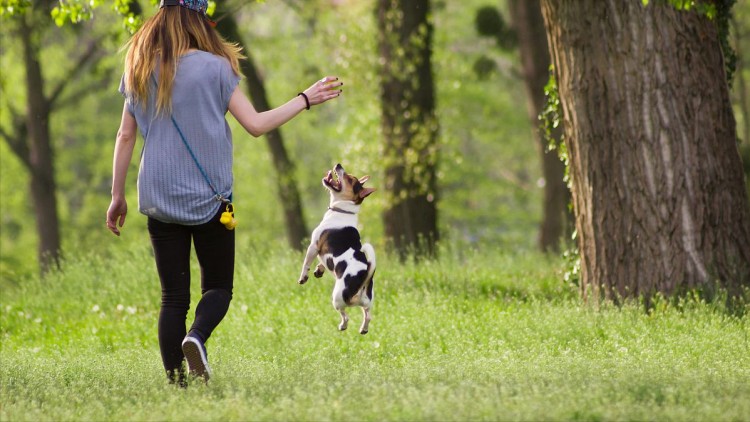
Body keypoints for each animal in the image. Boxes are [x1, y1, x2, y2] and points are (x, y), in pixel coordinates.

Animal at [296, 163, 374, 334]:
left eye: (350, 179)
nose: (339, 165)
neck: (344, 210)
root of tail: (364, 277)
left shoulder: (313, 246)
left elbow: (306, 263)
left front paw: (303, 277)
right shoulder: (322, 253)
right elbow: (322, 263)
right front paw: (319, 270)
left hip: (336, 298)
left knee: (346, 316)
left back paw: (342, 326)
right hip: (366, 302)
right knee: (368, 315)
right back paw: (363, 329)